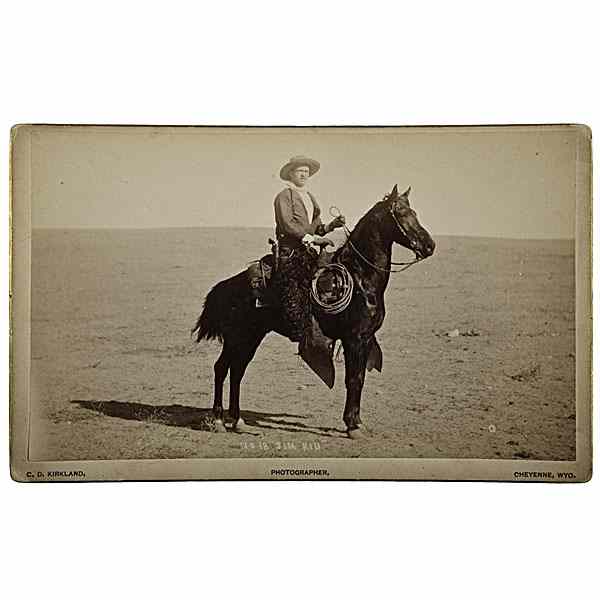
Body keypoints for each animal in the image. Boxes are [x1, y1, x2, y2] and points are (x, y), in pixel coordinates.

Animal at [195, 185, 434, 438]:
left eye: (414, 212)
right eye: (401, 213)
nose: (430, 245)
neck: (361, 277)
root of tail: (227, 285)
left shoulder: (366, 338)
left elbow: (360, 378)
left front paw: (357, 422)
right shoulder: (354, 339)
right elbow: (353, 379)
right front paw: (352, 425)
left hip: (251, 337)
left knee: (237, 370)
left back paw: (237, 420)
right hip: (237, 337)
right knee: (222, 368)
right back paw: (218, 419)